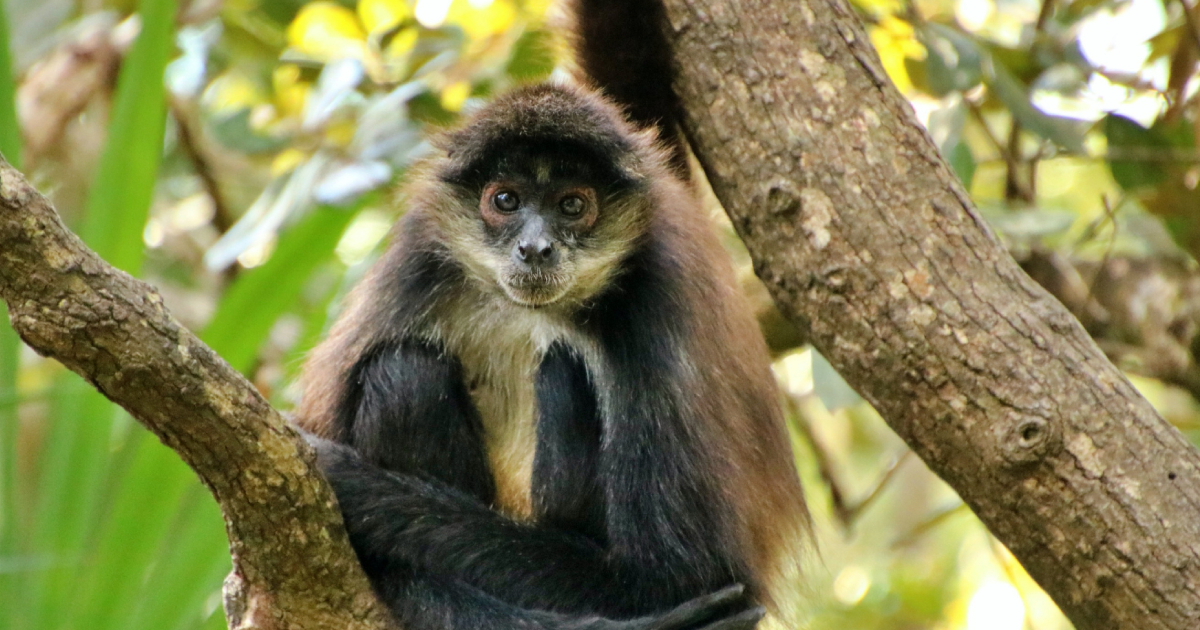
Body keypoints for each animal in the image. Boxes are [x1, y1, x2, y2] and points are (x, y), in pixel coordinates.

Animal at [295, 1, 811, 624]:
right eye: (505, 200)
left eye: (572, 205)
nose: (536, 248)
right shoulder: (420, 262)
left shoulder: (655, 304)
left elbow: (677, 579)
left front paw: (346, 479)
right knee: (404, 371)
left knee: (559, 369)